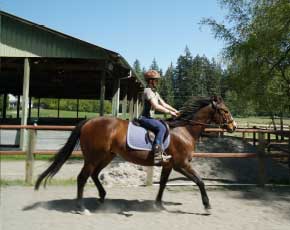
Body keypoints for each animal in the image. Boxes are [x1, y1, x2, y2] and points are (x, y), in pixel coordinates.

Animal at [35, 95, 237, 214]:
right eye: (225, 111)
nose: (233, 126)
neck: (184, 130)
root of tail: (89, 121)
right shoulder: (181, 164)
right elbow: (200, 181)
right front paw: (207, 205)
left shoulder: (169, 165)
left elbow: (163, 184)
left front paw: (159, 204)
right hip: (93, 157)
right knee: (82, 178)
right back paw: (81, 207)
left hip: (106, 156)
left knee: (94, 175)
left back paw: (102, 197)